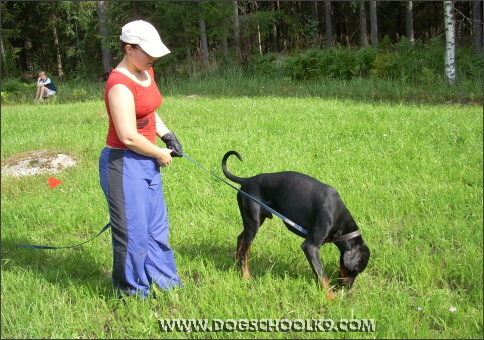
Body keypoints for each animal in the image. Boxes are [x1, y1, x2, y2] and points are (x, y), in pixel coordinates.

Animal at [223, 150, 370, 298]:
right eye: (355, 270)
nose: (347, 287)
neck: (339, 217)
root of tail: (247, 180)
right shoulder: (310, 247)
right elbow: (323, 276)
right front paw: (330, 298)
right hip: (253, 222)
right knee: (244, 252)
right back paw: (246, 277)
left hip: (255, 221)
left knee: (240, 238)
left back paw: (236, 262)